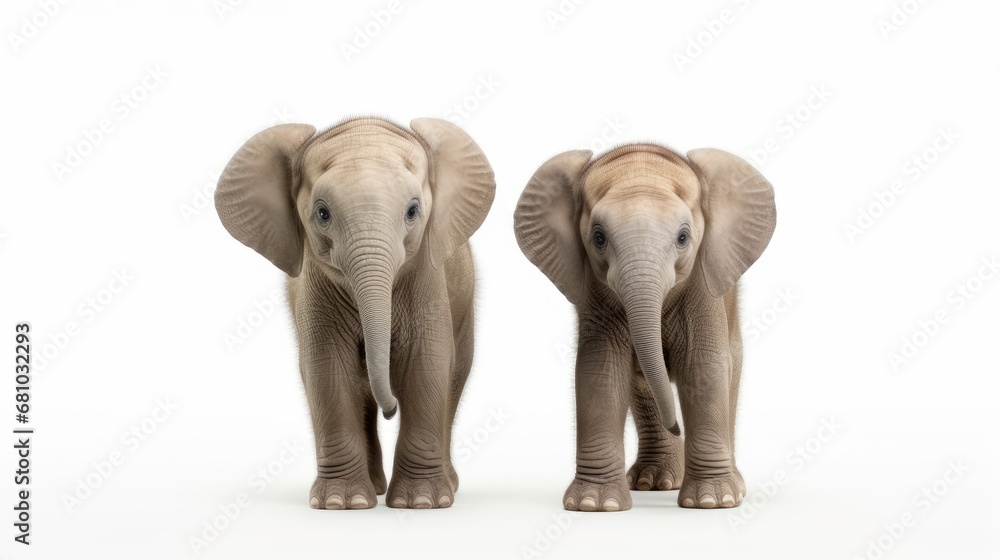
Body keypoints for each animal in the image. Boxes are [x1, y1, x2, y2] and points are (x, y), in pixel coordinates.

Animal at [215, 116, 495, 509]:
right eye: (322, 213)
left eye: (413, 211)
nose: (391, 409)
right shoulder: (315, 286)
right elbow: (327, 368)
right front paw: (342, 504)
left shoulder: (427, 276)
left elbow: (426, 364)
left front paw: (420, 504)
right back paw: (373, 488)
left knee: (454, 377)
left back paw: (444, 486)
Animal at [514, 144, 775, 511]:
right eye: (598, 238)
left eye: (683, 237)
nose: (677, 426)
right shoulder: (596, 296)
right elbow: (601, 372)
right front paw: (594, 505)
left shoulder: (702, 288)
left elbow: (704, 369)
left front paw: (714, 501)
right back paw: (654, 482)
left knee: (730, 369)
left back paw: (729, 486)